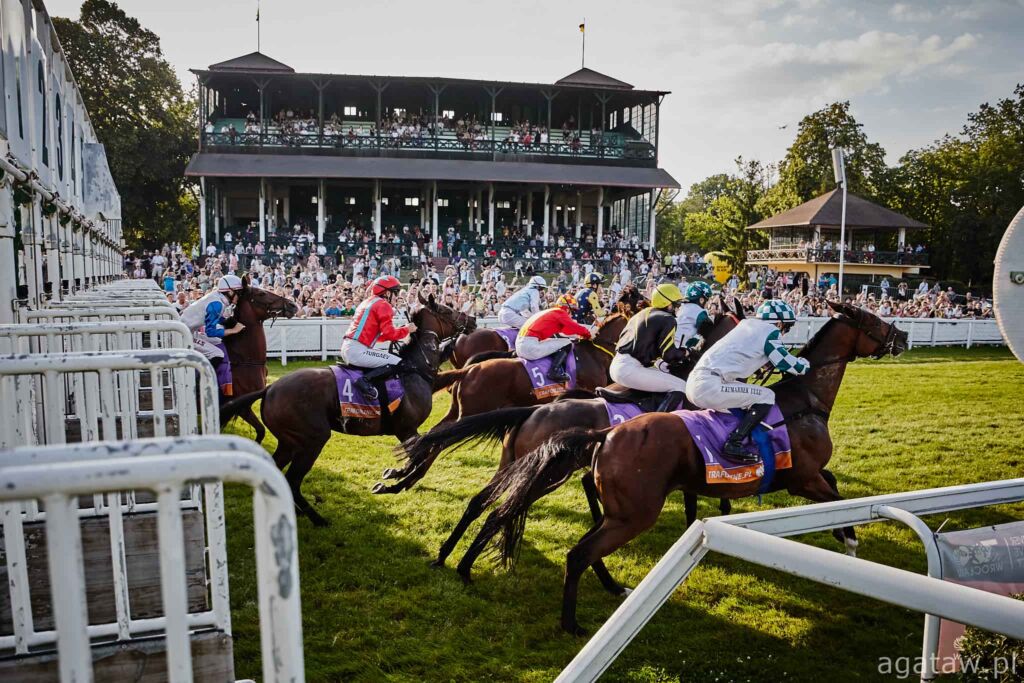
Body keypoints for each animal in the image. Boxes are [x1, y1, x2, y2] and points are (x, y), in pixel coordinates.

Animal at [219, 294, 475, 526]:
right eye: (447, 310)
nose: (472, 319)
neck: (414, 368)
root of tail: (270, 388)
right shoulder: (406, 428)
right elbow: (419, 458)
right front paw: (392, 481)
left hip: (288, 441)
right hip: (312, 439)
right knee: (292, 479)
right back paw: (317, 518)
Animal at [453, 301, 908, 634]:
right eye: (873, 319)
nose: (902, 336)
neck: (803, 400)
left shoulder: (797, 477)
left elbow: (831, 489)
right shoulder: (802, 478)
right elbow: (836, 496)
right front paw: (849, 540)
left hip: (549, 477)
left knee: (497, 507)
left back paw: (459, 561)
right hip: (603, 500)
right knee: (548, 535)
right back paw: (565, 617)